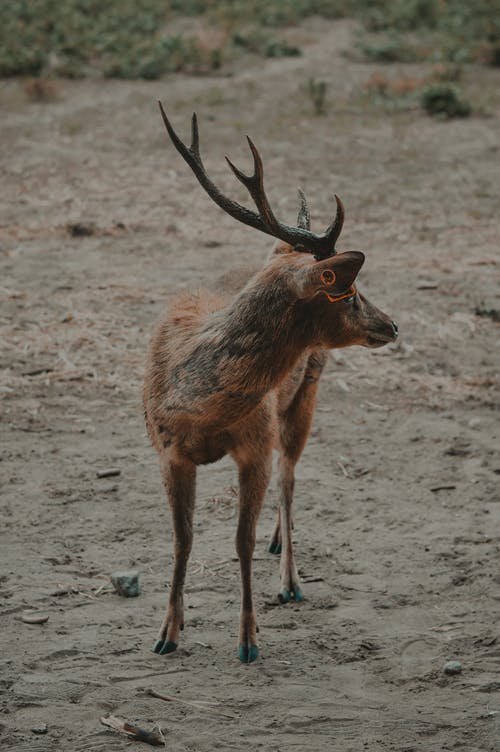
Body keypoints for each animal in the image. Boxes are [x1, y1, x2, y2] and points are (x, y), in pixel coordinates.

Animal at [144, 101, 398, 664]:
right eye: (349, 293)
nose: (392, 324)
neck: (199, 406)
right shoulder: (167, 451)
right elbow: (181, 539)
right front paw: (167, 633)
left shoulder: (254, 446)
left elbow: (240, 540)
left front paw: (248, 641)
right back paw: (279, 545)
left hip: (307, 393)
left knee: (290, 476)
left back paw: (289, 579)